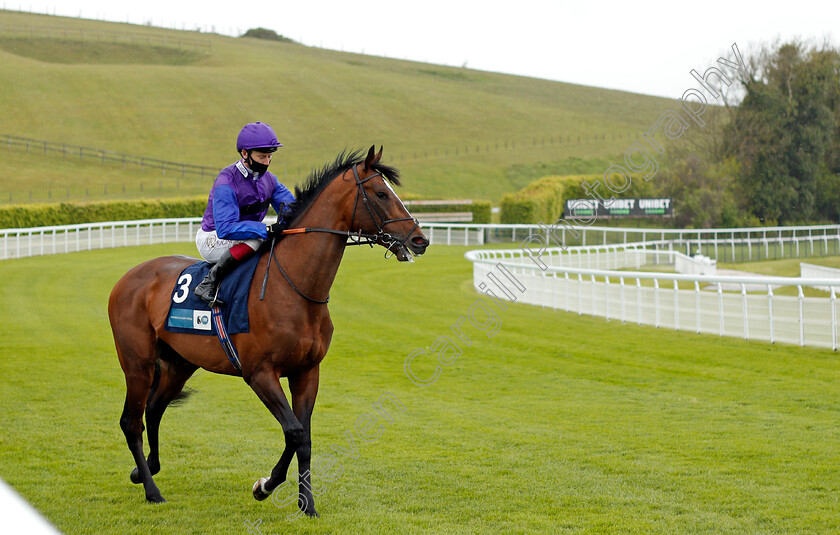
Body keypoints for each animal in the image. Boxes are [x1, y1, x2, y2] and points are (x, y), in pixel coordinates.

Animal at [108, 146, 430, 516]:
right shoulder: (260, 373)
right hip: (137, 362)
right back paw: (152, 489)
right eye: (380, 194)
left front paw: (306, 504)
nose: (420, 239)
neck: (294, 288)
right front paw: (266, 485)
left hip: (179, 364)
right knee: (132, 421)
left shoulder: (307, 371)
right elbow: (293, 430)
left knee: (154, 409)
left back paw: (145, 469)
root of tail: (127, 278)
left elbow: (304, 436)